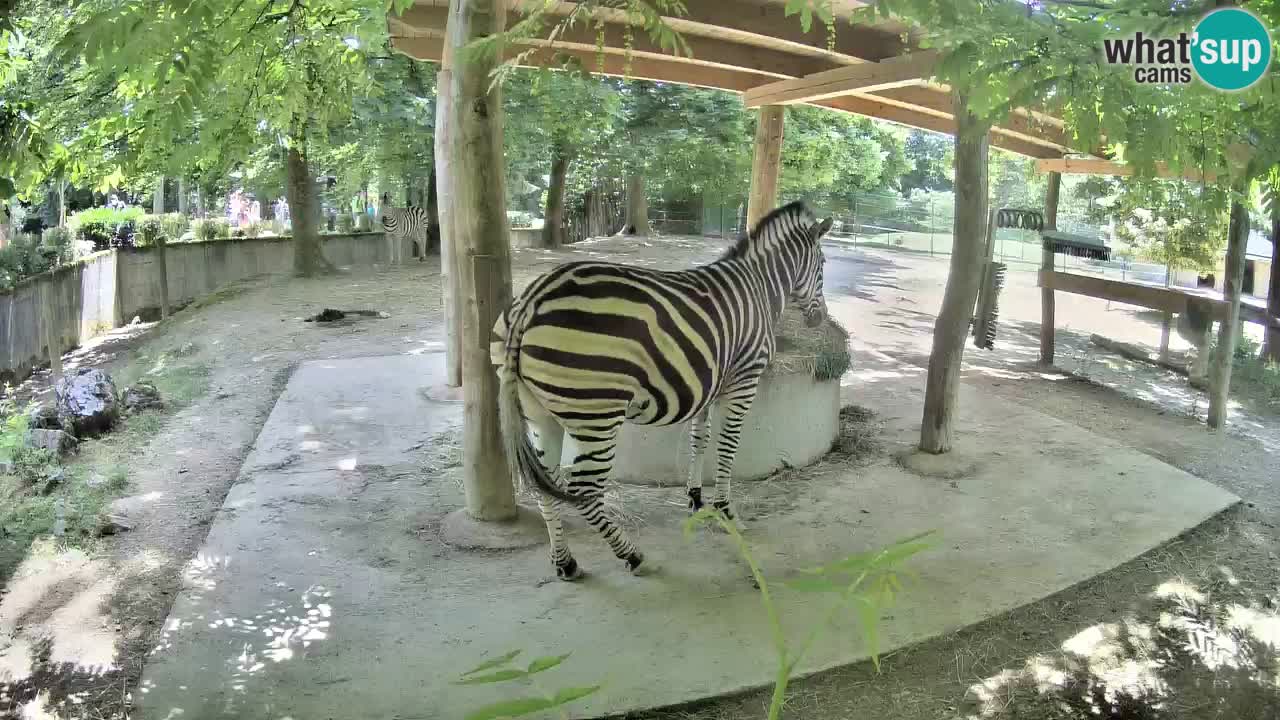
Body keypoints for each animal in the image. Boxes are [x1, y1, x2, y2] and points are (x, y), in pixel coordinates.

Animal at [491, 200, 832, 581]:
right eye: (822, 264)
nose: (819, 318)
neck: (759, 286)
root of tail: (532, 299)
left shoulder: (709, 386)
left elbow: (700, 441)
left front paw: (696, 499)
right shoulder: (744, 380)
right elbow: (728, 447)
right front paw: (726, 510)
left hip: (538, 411)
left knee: (545, 483)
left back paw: (565, 561)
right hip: (596, 414)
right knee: (585, 490)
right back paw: (633, 556)